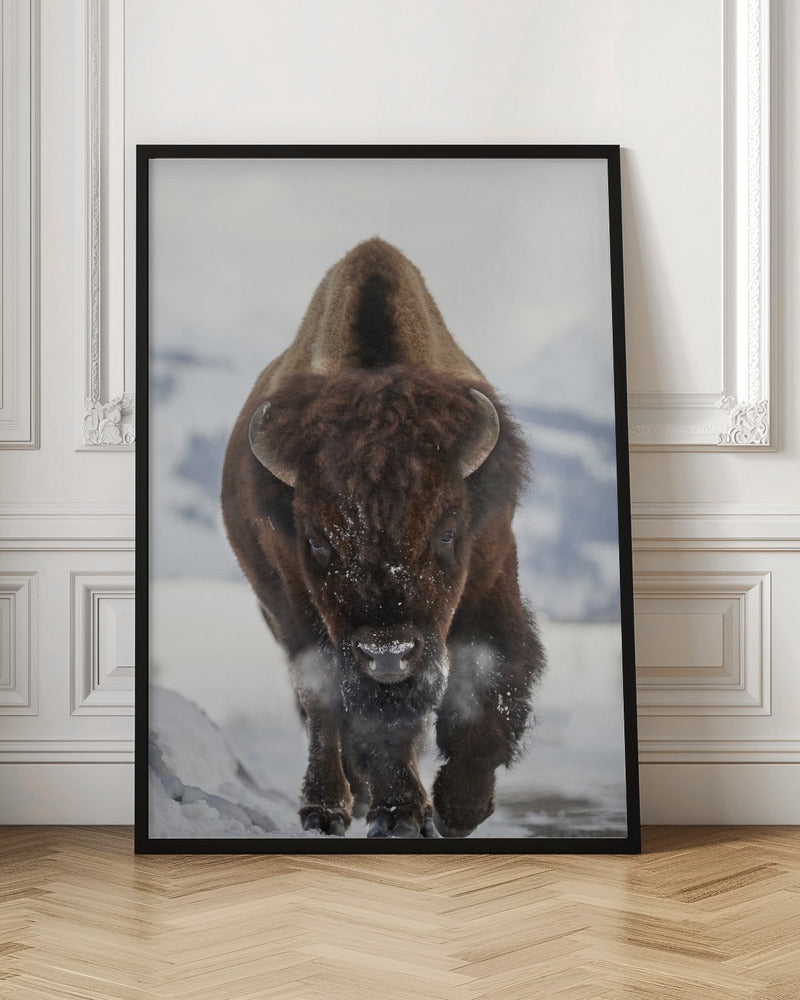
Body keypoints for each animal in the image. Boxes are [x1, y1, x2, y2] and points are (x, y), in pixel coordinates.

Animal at [221, 238, 545, 838]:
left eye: (447, 532)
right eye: (317, 541)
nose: (388, 655)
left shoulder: (491, 569)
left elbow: (493, 677)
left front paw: (459, 808)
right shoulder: (302, 605)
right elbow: (360, 714)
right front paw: (398, 814)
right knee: (321, 707)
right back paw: (328, 807)